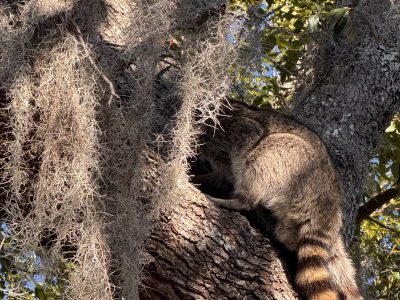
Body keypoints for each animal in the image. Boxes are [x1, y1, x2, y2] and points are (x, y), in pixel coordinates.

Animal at [192, 101, 364, 300]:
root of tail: (327, 206)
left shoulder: (229, 130)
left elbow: (248, 138)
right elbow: (220, 177)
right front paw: (196, 176)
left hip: (296, 166)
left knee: (266, 151)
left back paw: (241, 200)